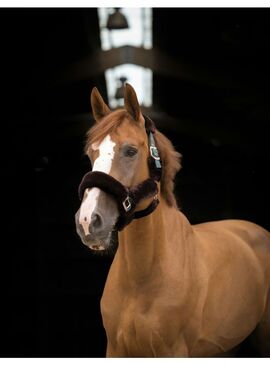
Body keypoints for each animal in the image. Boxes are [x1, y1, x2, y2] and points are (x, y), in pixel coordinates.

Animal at [75, 83, 270, 356]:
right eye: (90, 153)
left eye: (130, 151)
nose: (88, 221)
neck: (141, 278)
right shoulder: (115, 349)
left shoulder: (173, 350)